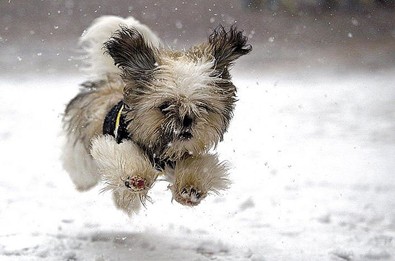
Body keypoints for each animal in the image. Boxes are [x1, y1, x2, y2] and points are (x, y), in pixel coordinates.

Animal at [62, 15, 254, 215]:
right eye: (165, 106)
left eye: (202, 106)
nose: (187, 119)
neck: (160, 151)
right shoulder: (113, 143)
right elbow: (125, 157)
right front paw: (136, 177)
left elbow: (201, 166)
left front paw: (191, 188)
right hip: (81, 156)